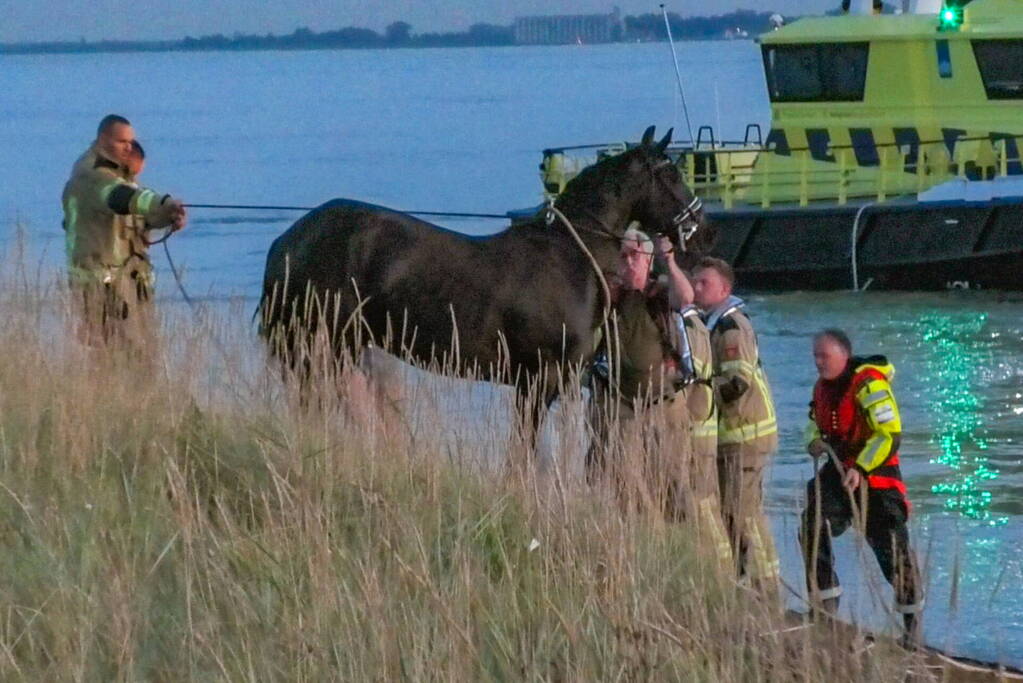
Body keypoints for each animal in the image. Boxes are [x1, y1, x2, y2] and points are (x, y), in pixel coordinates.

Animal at [258, 126, 711, 451]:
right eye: (671, 173)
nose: (701, 227)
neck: (569, 256)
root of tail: (291, 239)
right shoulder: (538, 379)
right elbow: (522, 450)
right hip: (323, 344)